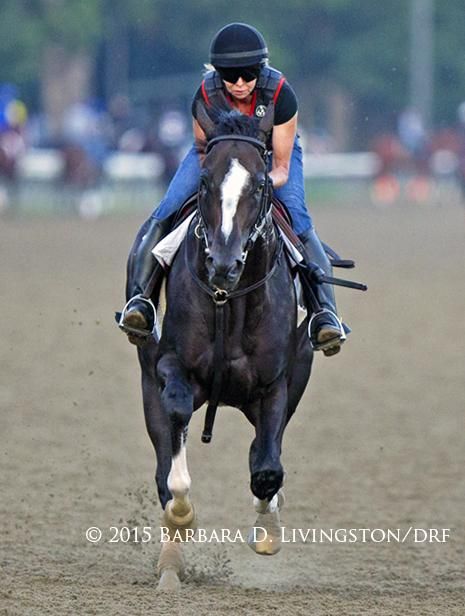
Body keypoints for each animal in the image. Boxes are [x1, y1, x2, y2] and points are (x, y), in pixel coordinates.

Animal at [136, 103, 314, 588]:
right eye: (203, 181)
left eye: (260, 183)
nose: (223, 263)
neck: (227, 300)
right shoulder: (169, 367)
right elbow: (175, 432)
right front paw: (182, 512)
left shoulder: (277, 385)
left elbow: (267, 469)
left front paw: (267, 529)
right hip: (147, 385)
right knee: (162, 462)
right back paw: (170, 567)